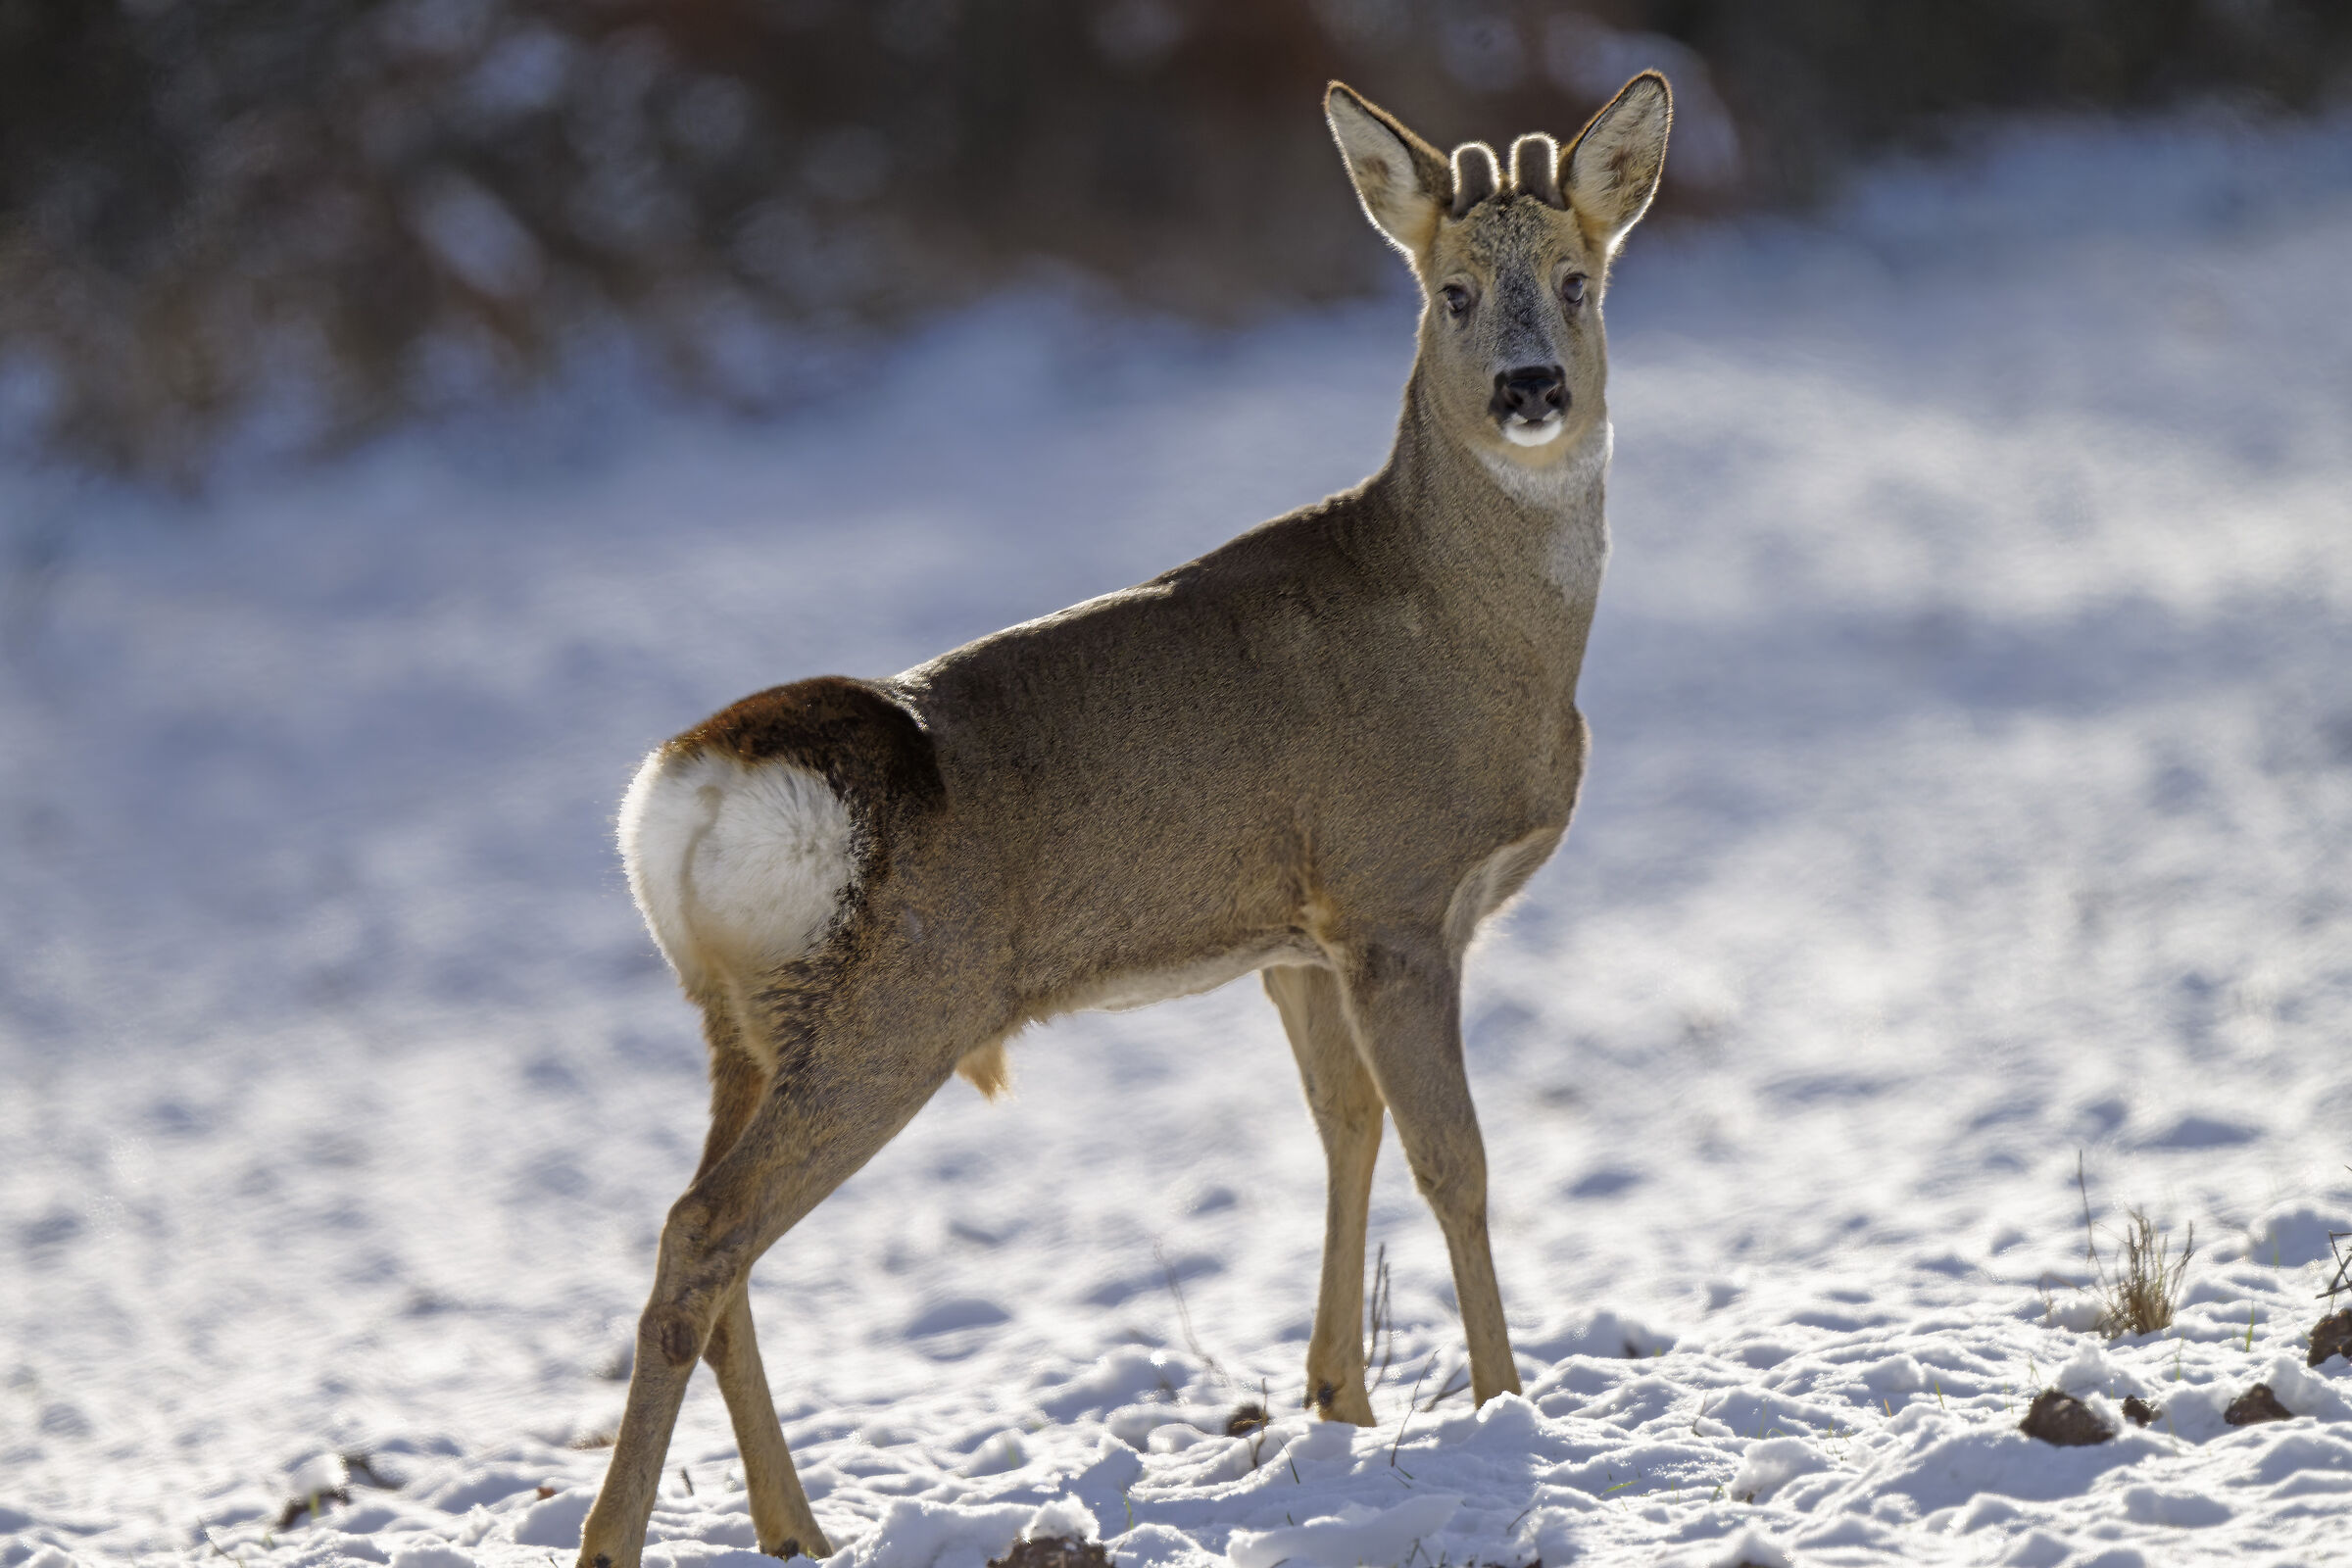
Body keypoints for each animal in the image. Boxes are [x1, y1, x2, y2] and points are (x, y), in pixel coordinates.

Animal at [577, 72, 1673, 1567]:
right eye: (1449, 292)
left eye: (1578, 280)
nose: (1531, 389)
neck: (1472, 638)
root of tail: (690, 789)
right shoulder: (1394, 897)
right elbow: (1457, 1161)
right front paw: (1507, 1413)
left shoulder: (1296, 938)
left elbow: (1346, 1130)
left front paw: (1340, 1402)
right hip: (892, 1012)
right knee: (706, 1229)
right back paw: (621, 1539)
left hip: (742, 1024)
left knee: (709, 1237)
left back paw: (796, 1526)